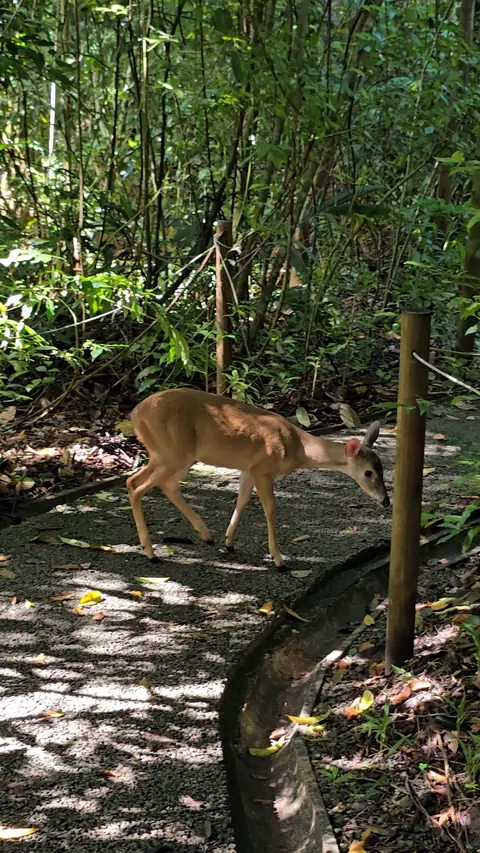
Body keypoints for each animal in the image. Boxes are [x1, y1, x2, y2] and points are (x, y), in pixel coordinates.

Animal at [126, 388, 389, 569]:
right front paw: (278, 559)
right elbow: (270, 509)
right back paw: (150, 553)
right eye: (368, 473)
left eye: (382, 468)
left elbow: (242, 500)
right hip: (171, 451)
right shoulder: (264, 468)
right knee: (135, 484)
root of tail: (135, 415)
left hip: (179, 455)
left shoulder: (248, 468)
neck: (297, 447)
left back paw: (206, 535)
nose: (386, 501)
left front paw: (229, 542)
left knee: (165, 484)